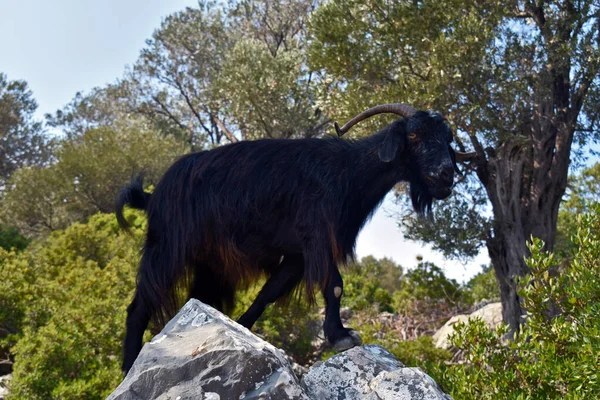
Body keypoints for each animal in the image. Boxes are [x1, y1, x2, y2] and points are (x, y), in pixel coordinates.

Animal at [116, 104, 474, 376]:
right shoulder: (317, 237)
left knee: (199, 297)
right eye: (413, 135)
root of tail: (152, 195)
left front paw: (243, 328)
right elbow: (335, 285)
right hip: (166, 247)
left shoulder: (296, 255)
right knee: (140, 304)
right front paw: (341, 336)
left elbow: (267, 294)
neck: (348, 172)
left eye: (448, 138)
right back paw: (129, 366)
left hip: (209, 262)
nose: (446, 175)